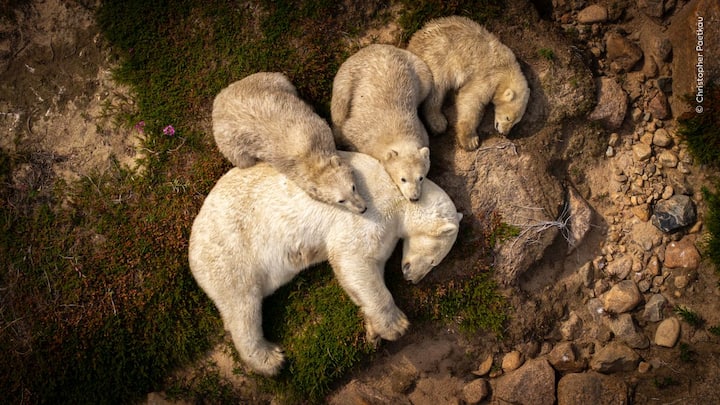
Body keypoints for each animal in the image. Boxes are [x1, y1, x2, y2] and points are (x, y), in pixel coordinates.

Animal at [188, 151, 462, 376]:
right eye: (435, 260)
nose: (413, 278)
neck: (399, 192)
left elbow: (365, 274)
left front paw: (373, 331)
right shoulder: (371, 209)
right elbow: (352, 257)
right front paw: (396, 326)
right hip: (232, 250)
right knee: (242, 305)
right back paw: (269, 359)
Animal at [212, 72, 367, 214]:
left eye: (353, 187)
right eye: (341, 200)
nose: (363, 209)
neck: (308, 155)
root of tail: (219, 99)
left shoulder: (318, 127)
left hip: (264, 81)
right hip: (229, 142)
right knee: (243, 160)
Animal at [331, 44, 433, 202]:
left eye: (421, 178)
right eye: (403, 179)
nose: (414, 198)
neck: (397, 128)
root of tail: (380, 46)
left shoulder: (421, 130)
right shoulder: (361, 132)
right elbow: (347, 132)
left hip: (418, 69)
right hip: (349, 75)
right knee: (339, 105)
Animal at [407, 16, 530, 150]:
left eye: (516, 122)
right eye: (508, 118)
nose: (504, 133)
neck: (507, 68)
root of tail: (412, 43)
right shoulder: (488, 76)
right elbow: (470, 99)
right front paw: (471, 141)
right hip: (436, 57)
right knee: (436, 90)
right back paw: (438, 122)